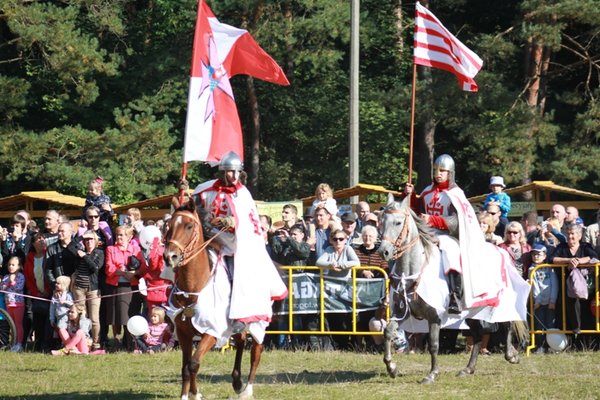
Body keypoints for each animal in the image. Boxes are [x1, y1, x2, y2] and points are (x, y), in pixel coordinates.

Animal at [166, 197, 264, 400]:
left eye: (189, 226)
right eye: (168, 225)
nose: (170, 256)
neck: (193, 287)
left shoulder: (211, 331)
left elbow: (193, 364)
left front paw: (194, 393)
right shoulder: (184, 332)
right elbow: (185, 367)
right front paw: (189, 394)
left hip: (259, 320)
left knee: (256, 350)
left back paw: (247, 389)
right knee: (241, 340)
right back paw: (237, 381)